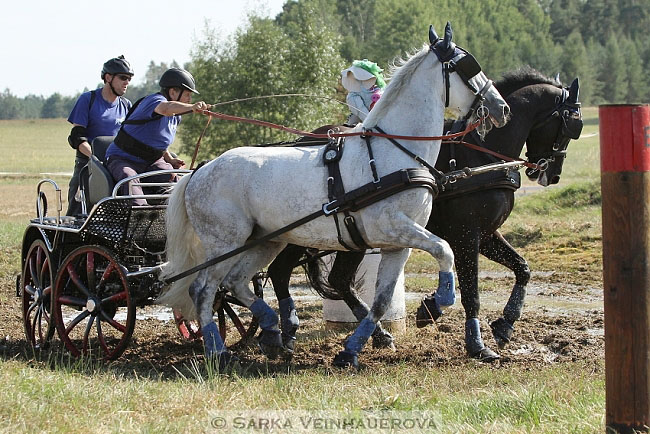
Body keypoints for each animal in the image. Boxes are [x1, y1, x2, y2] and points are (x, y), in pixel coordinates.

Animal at [158, 23, 512, 370]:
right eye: (469, 66)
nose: (502, 108)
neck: (395, 153)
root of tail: (199, 171)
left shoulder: (396, 244)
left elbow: (382, 301)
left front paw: (352, 350)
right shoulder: (396, 227)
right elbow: (444, 250)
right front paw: (439, 302)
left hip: (265, 240)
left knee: (237, 281)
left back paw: (272, 333)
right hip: (225, 242)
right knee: (204, 289)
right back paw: (218, 350)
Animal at [266, 67, 580, 360]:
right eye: (570, 125)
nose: (552, 174)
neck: (482, 156)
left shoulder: (487, 234)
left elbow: (522, 269)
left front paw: (504, 324)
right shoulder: (466, 235)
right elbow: (471, 293)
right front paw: (472, 340)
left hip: (349, 233)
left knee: (336, 280)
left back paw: (372, 336)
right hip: (307, 232)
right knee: (282, 272)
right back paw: (286, 333)